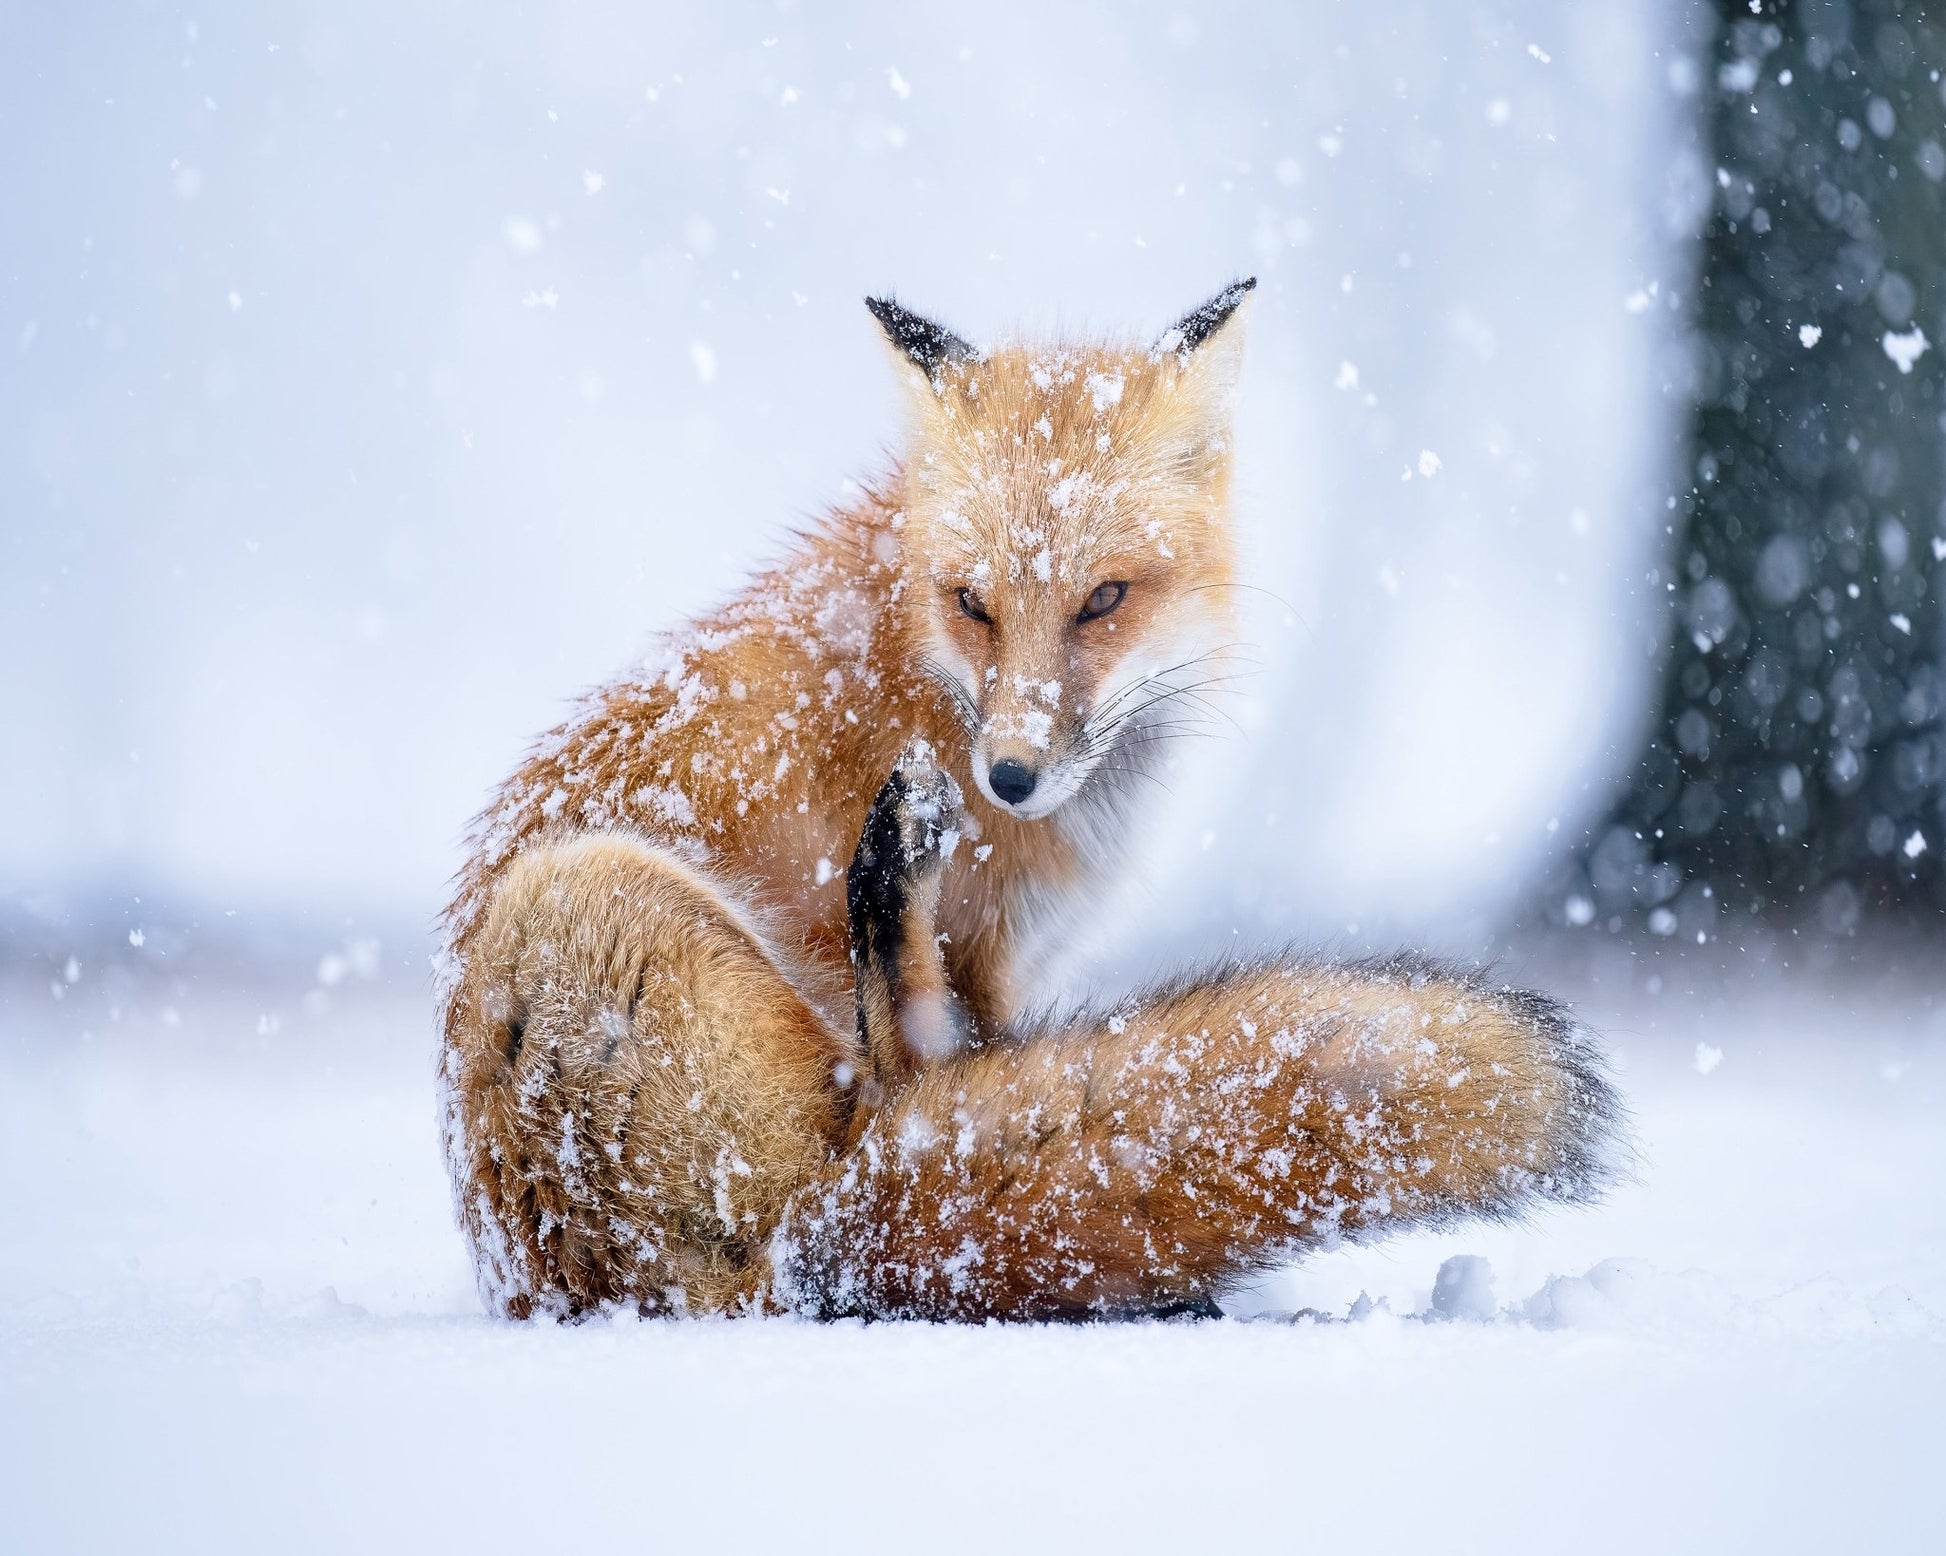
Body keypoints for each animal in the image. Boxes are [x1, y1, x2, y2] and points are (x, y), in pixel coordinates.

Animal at [437, 278, 1623, 1322]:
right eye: (974, 603)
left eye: (1102, 599)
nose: (1006, 778)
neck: (919, 672)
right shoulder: (992, 958)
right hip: (585, 895)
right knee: (894, 1101)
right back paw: (889, 877)